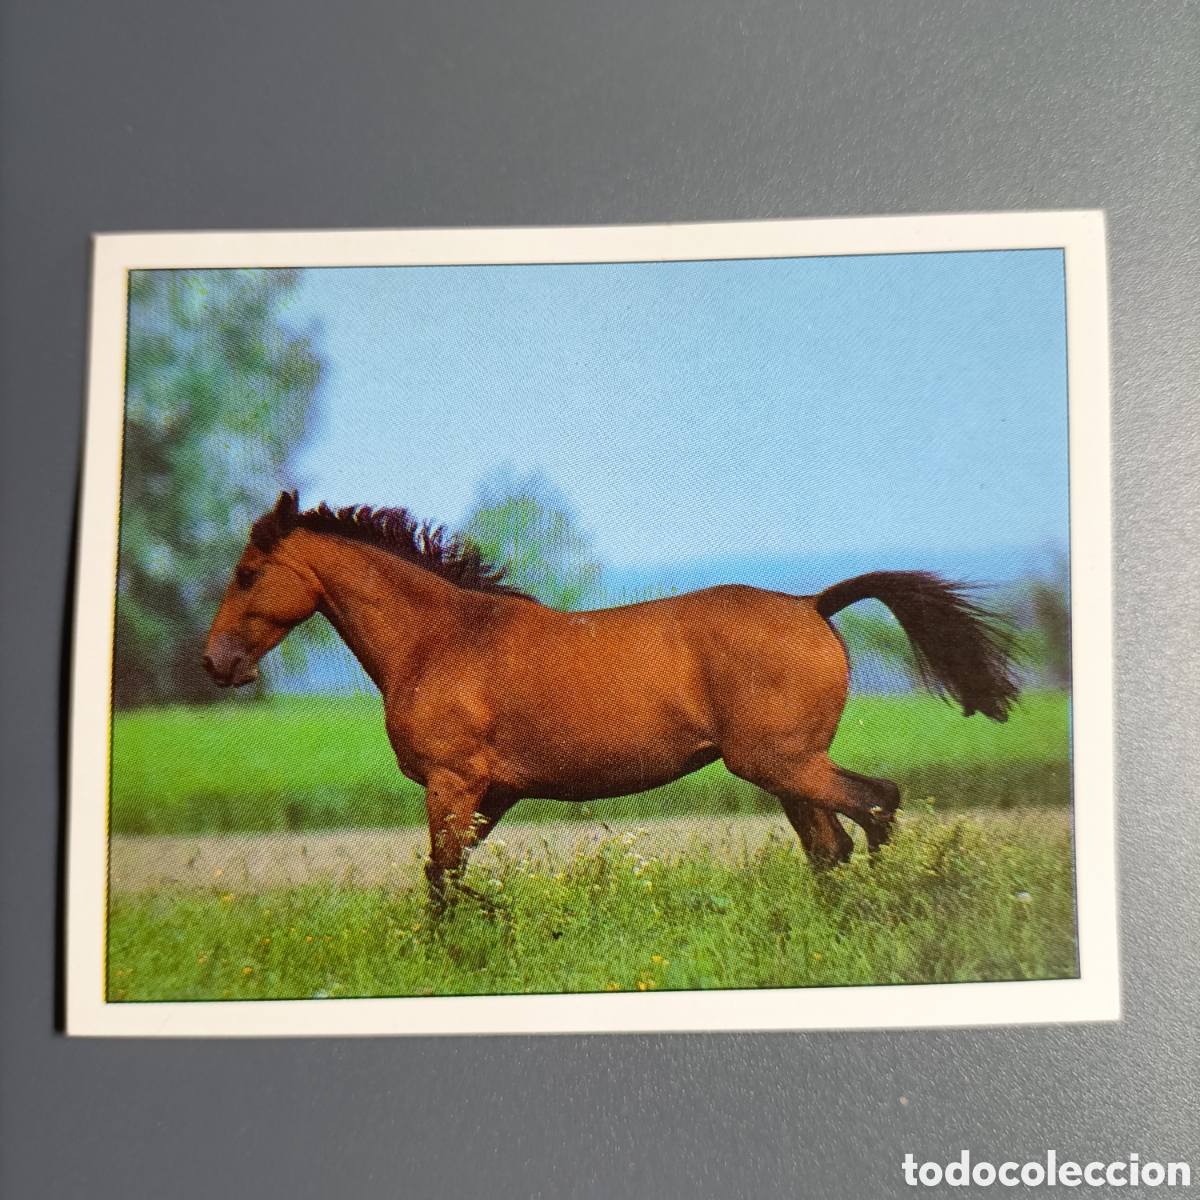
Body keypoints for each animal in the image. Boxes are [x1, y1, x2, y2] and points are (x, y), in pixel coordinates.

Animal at [203, 491, 1020, 904]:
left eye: (247, 572)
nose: (214, 663)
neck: (442, 639)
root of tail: (810, 604)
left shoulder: (453, 782)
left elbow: (441, 878)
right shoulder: (492, 792)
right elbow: (447, 873)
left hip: (783, 763)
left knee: (876, 805)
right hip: (786, 769)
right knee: (831, 844)